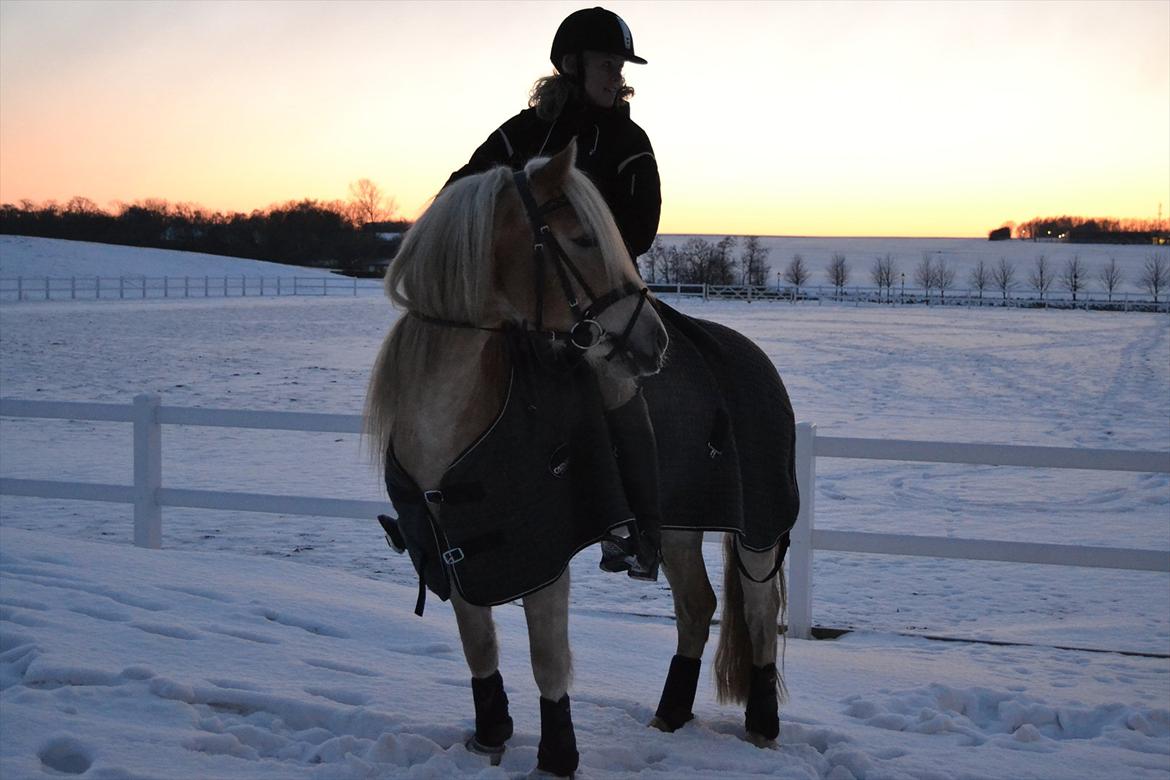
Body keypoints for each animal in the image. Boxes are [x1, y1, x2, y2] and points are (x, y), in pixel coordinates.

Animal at [360, 138, 790, 776]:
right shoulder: (455, 550)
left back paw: (762, 726)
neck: (456, 412)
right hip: (679, 527)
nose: (654, 341)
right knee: (697, 606)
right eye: (584, 239)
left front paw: (557, 757)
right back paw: (670, 714)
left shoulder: (545, 555)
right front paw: (490, 737)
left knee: (759, 615)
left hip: (758, 530)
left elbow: (547, 659)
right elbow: (478, 647)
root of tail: (756, 359)